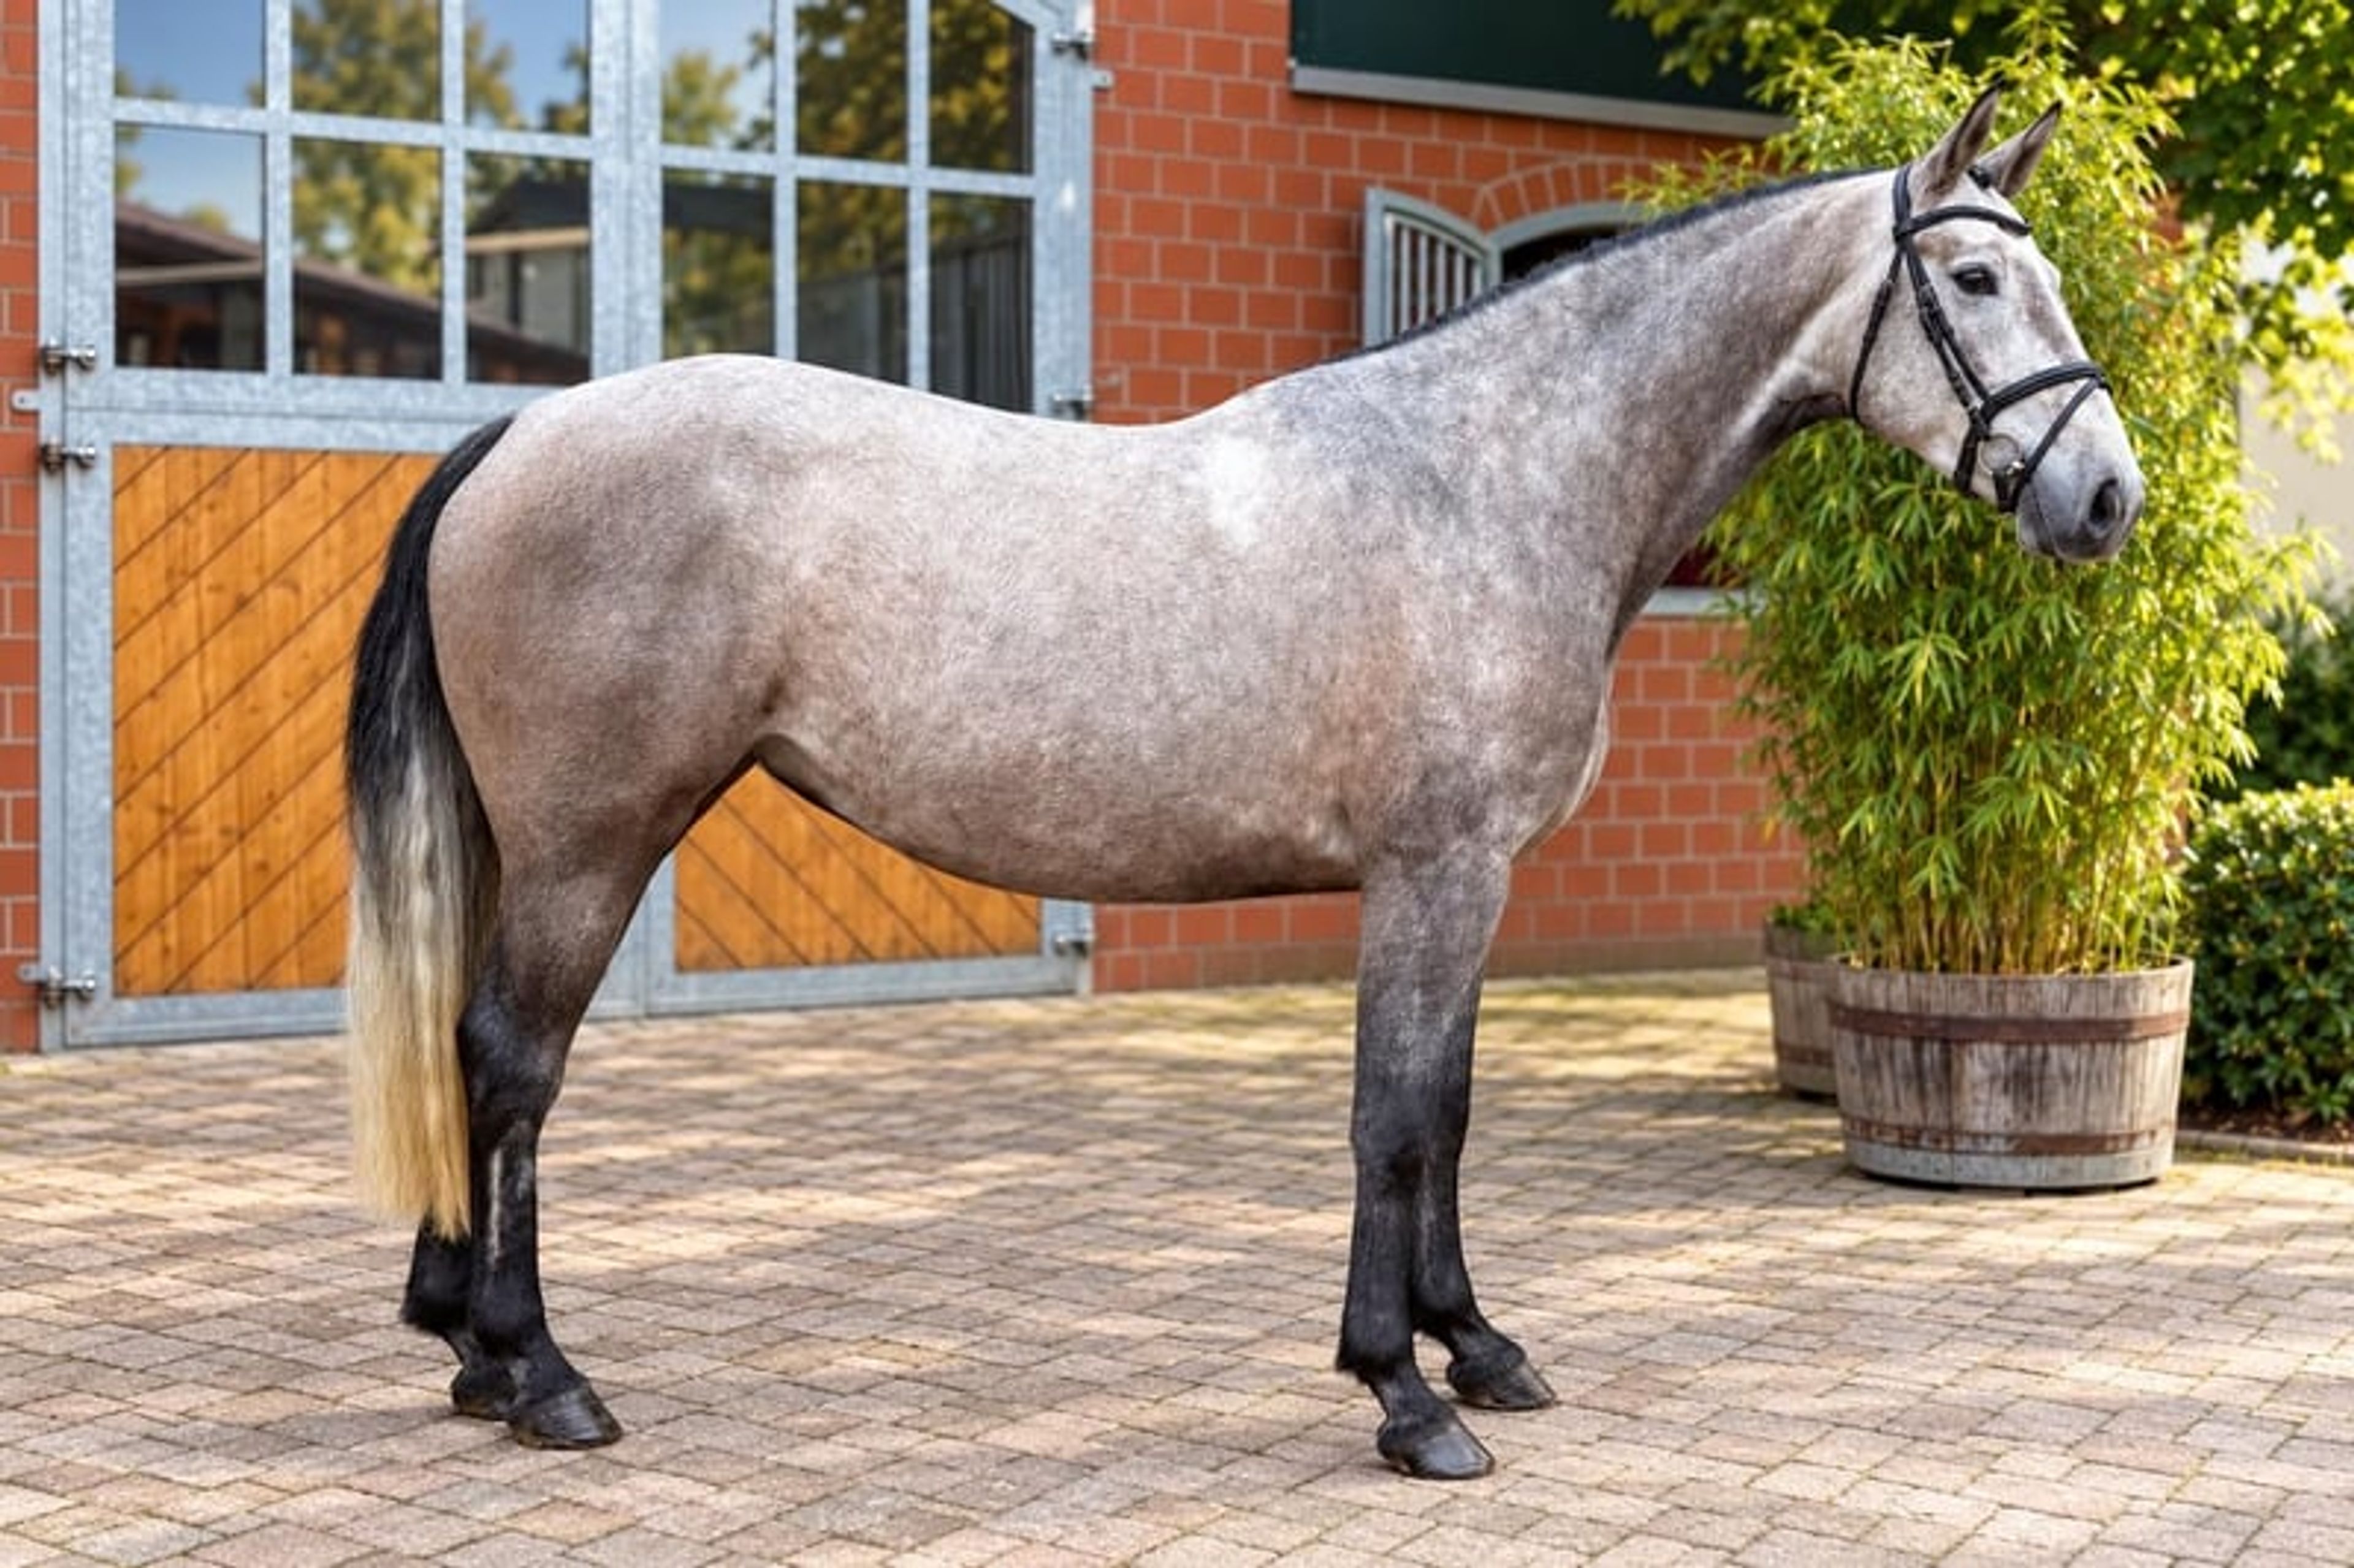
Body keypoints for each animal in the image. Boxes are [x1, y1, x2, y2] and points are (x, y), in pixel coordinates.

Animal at [345, 88, 2143, 1480]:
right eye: (1973, 275)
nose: (2107, 499)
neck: (1489, 478)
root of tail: (520, 434)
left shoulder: (1469, 884)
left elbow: (1448, 1111)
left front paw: (1477, 1344)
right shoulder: (1433, 872)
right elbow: (1394, 1117)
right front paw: (1407, 1394)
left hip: (527, 846)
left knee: (470, 1056)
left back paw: (467, 1351)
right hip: (591, 844)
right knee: (511, 1063)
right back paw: (541, 1374)